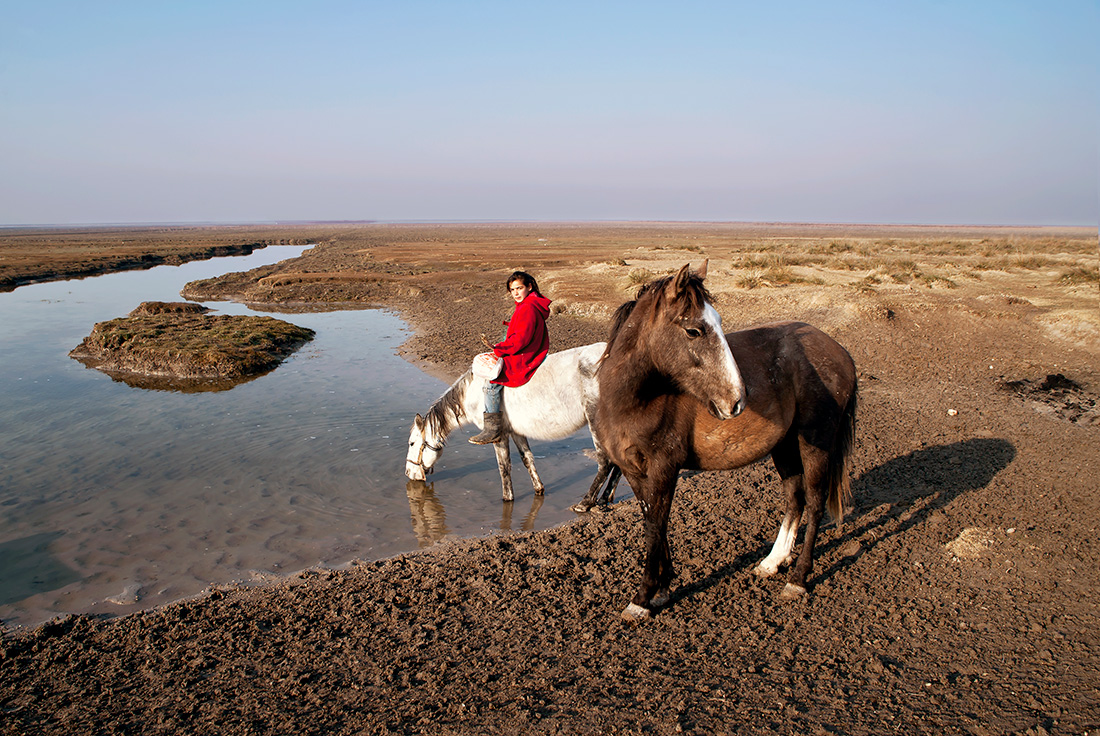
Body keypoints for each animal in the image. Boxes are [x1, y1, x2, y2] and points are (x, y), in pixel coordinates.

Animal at [407, 341, 620, 501]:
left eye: (411, 443)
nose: (409, 474)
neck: (472, 393)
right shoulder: (516, 431)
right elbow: (527, 459)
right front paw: (539, 489)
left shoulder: (498, 435)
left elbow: (504, 467)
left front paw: (507, 498)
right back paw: (605, 498)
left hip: (596, 421)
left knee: (605, 461)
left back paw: (586, 502)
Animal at [594, 262, 858, 620]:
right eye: (694, 331)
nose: (736, 400)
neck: (634, 400)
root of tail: (840, 353)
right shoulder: (633, 470)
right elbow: (653, 523)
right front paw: (662, 588)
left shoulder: (664, 468)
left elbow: (656, 526)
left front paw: (643, 598)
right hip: (786, 447)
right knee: (795, 499)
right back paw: (772, 562)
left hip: (815, 443)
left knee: (815, 503)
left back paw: (798, 579)